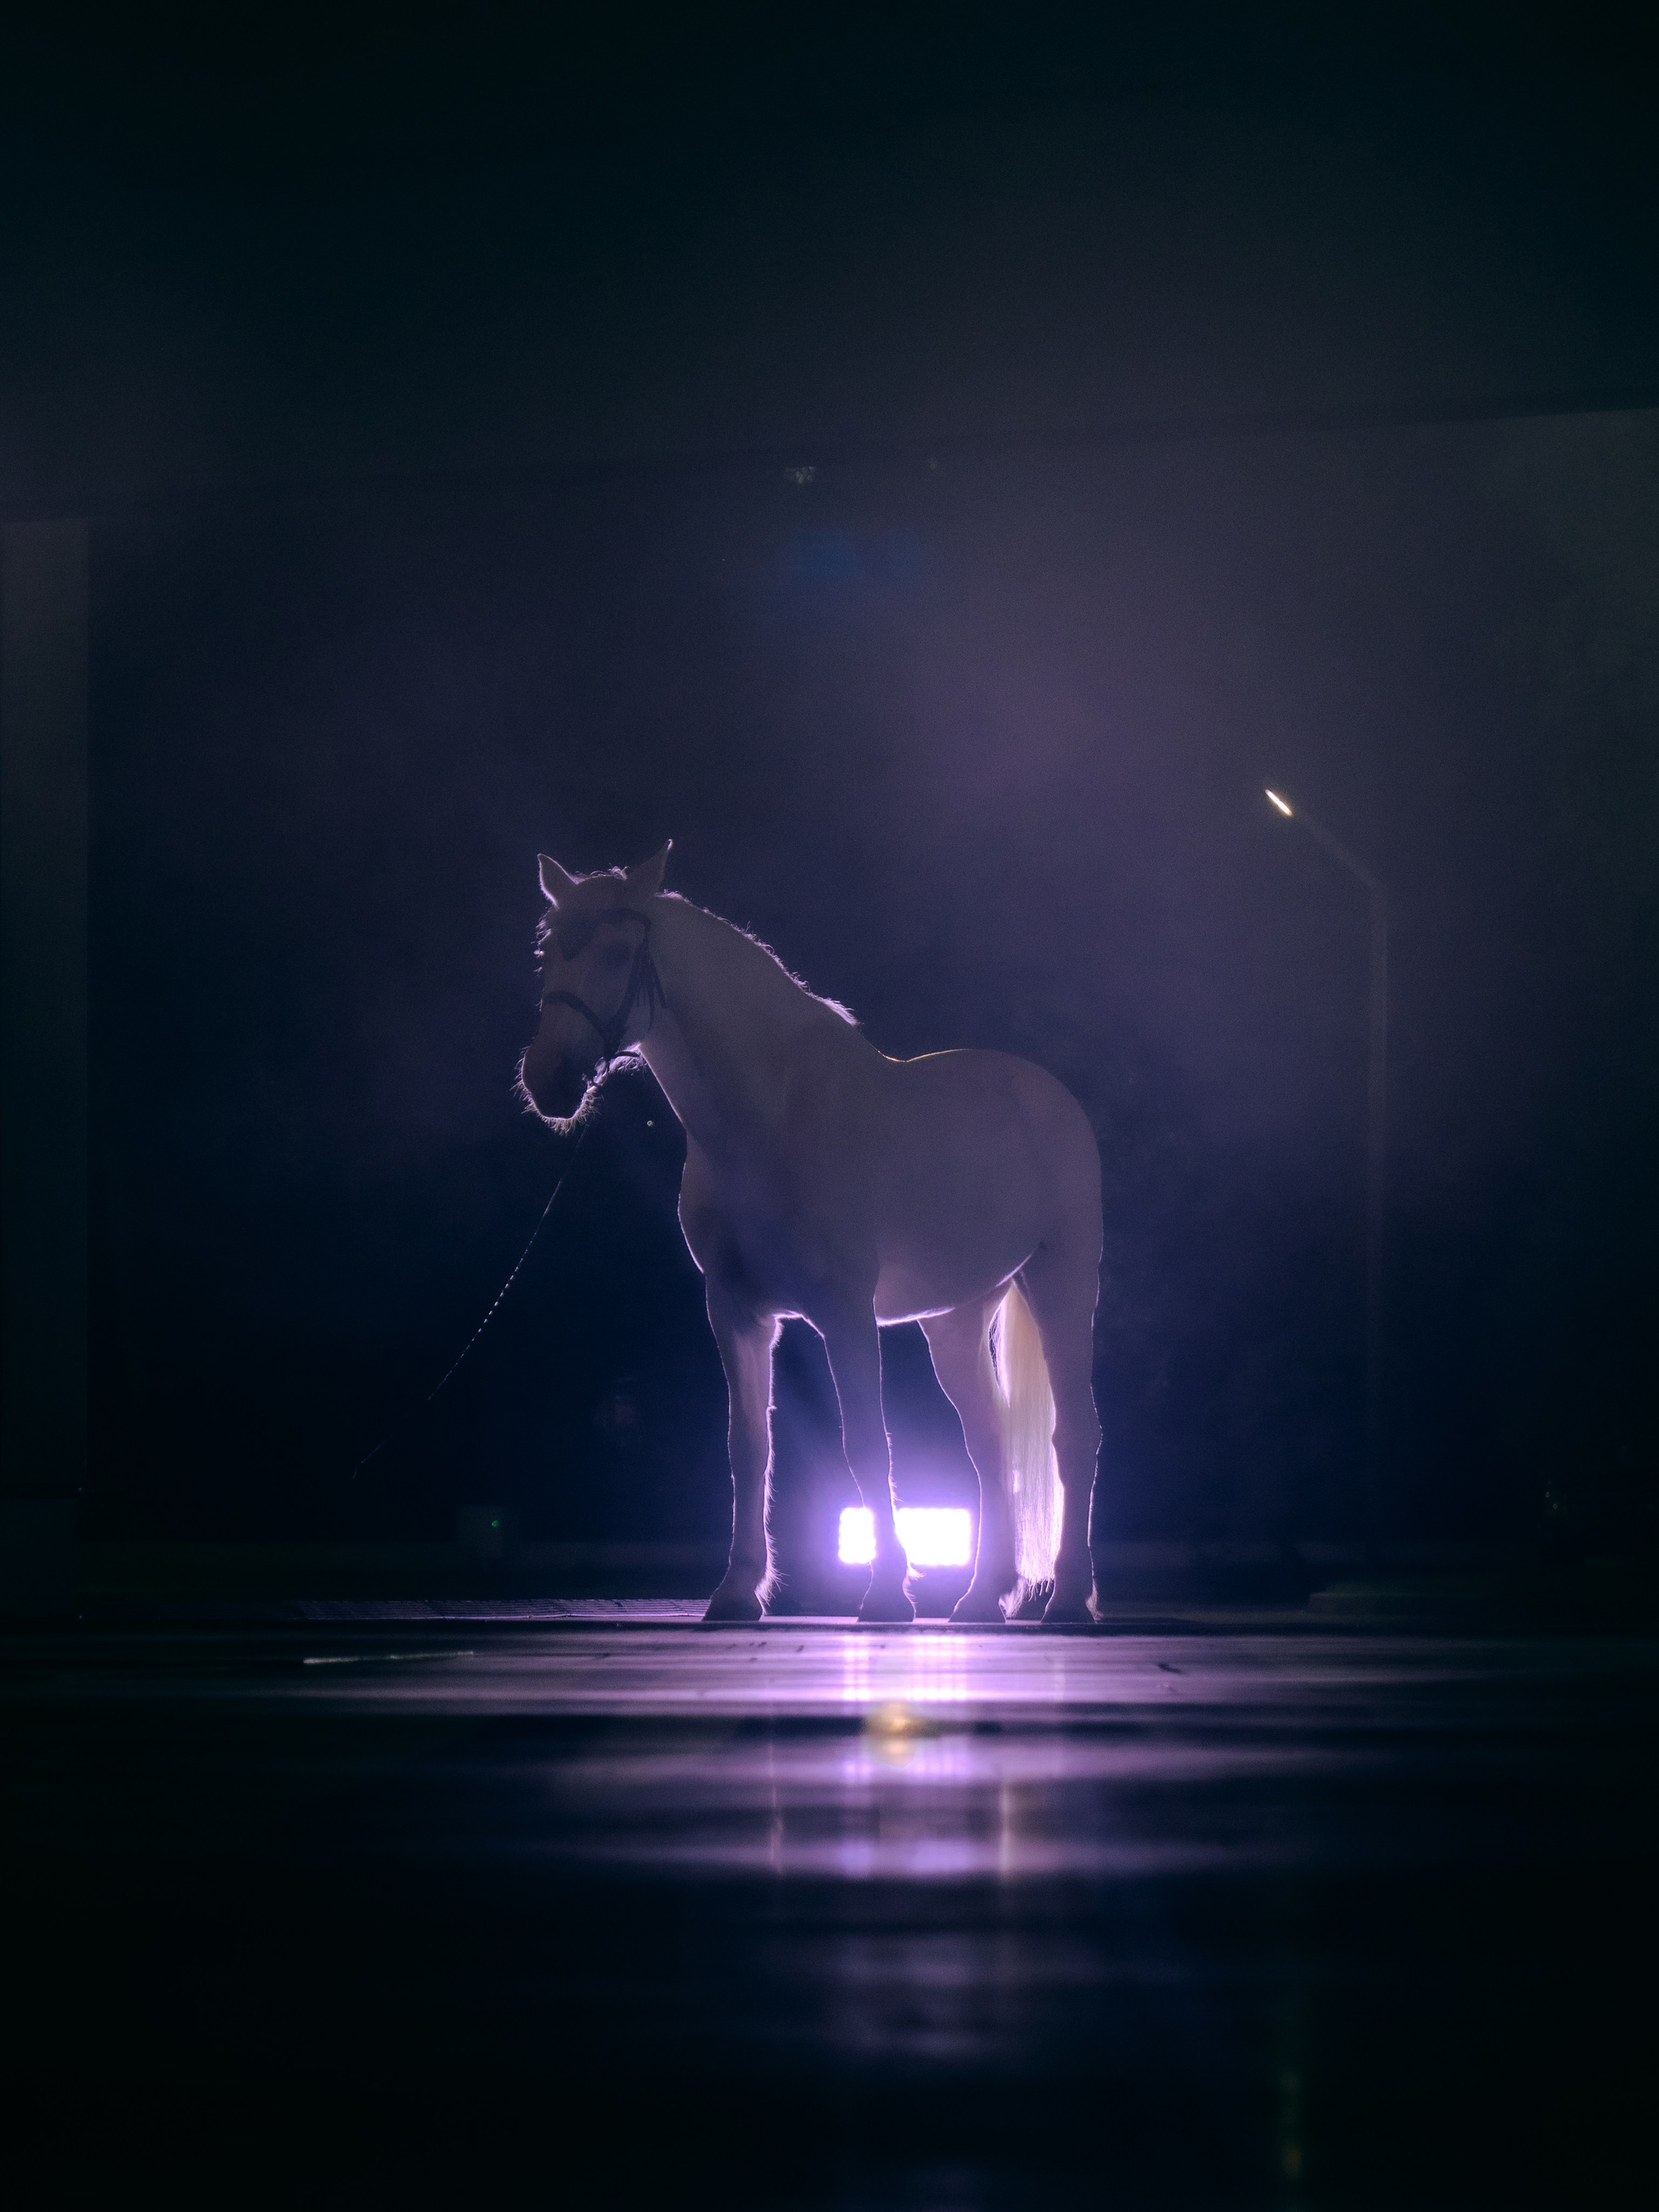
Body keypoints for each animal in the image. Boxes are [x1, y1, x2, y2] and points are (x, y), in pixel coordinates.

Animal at [516, 842, 1102, 1626]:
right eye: (548, 950)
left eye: (616, 951)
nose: (547, 1080)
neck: (767, 1116)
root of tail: (1050, 1097)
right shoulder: (737, 1309)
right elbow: (748, 1445)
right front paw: (736, 1591)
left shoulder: (845, 1310)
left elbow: (866, 1444)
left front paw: (885, 1593)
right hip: (955, 1319)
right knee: (989, 1442)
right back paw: (982, 1598)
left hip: (1060, 1283)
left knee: (1075, 1434)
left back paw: (1067, 1597)